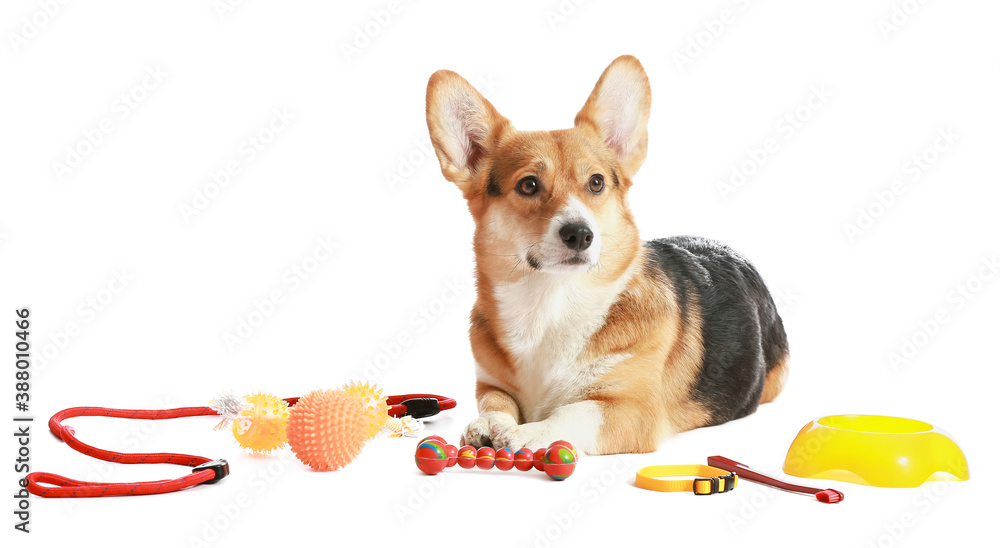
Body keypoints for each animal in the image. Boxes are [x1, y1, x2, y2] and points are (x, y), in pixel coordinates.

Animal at [424, 55, 788, 456]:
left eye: (596, 182)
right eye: (529, 185)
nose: (580, 234)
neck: (550, 304)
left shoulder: (634, 412)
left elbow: (572, 411)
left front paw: (530, 432)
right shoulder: (490, 384)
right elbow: (496, 402)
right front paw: (492, 422)